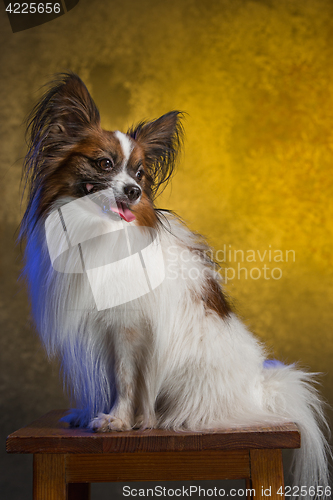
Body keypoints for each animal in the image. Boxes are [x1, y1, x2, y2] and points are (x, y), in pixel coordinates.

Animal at [20, 72, 330, 494]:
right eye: (104, 164)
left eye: (140, 174)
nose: (133, 192)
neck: (98, 230)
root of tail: (259, 391)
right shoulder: (99, 330)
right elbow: (107, 377)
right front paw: (92, 412)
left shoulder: (129, 328)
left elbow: (125, 378)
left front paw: (119, 421)